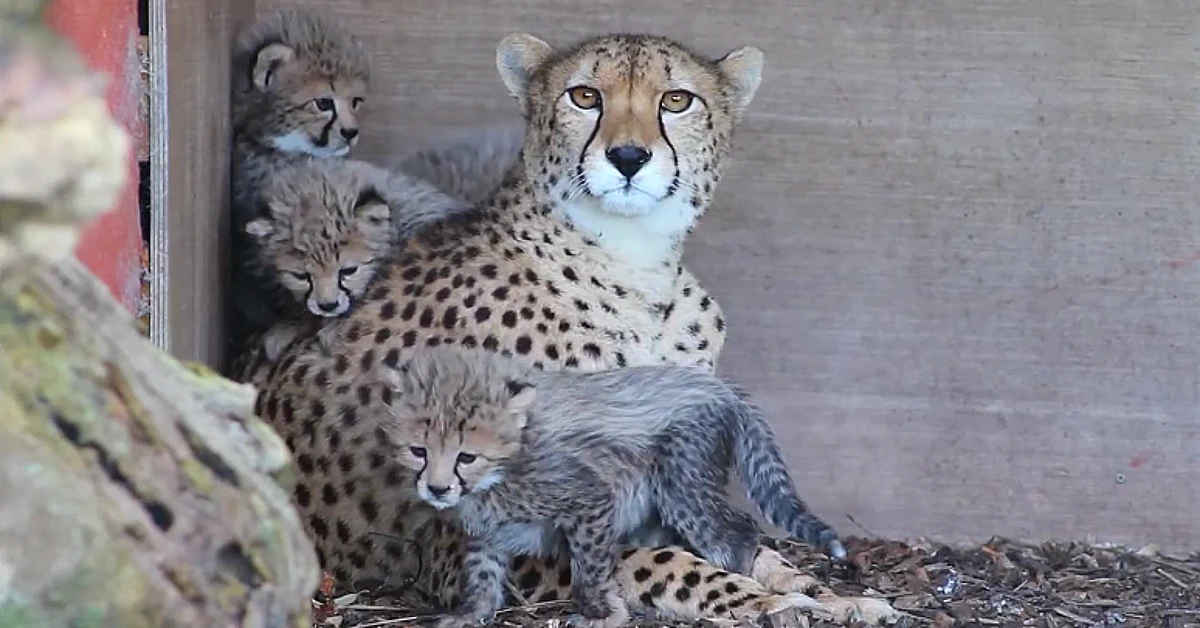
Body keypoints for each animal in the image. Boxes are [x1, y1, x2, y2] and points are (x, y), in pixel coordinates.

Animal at [234, 31, 897, 624]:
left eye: (676, 100)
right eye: (584, 96)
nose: (628, 157)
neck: (637, 266)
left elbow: (735, 547)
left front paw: (827, 592)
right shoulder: (461, 533)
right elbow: (656, 562)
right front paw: (766, 602)